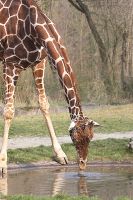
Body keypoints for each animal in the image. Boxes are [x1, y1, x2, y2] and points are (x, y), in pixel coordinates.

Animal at [0, 0, 98, 175]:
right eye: (75, 137)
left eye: (91, 137)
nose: (82, 165)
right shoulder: (10, 64)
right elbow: (9, 111)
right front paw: (3, 163)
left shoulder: (40, 62)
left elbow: (44, 104)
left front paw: (61, 155)